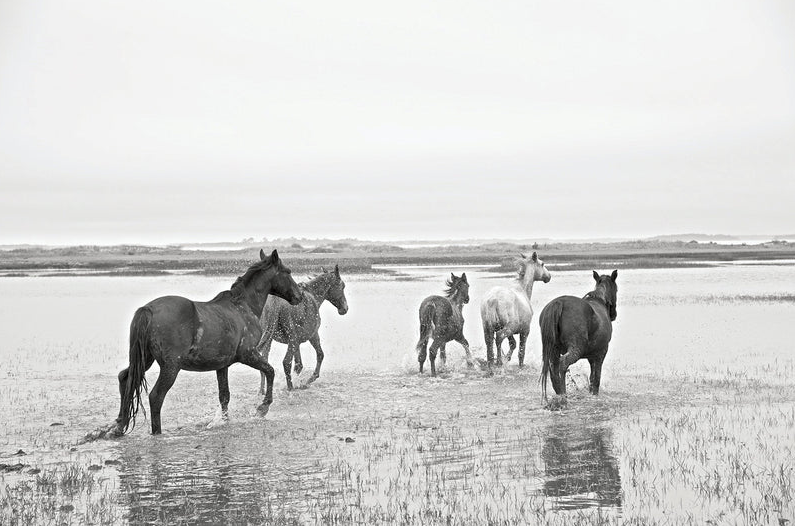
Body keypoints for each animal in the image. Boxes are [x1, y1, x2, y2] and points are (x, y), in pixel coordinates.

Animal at [109, 249, 303, 436]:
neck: (243, 307)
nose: (299, 296)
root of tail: (147, 309)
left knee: (125, 379)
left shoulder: (222, 365)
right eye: (287, 271)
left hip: (146, 360)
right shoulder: (248, 354)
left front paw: (224, 421)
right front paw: (262, 408)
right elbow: (270, 371)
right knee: (156, 397)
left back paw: (119, 427)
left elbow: (224, 395)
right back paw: (156, 432)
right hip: (171, 367)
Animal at [539, 270, 618, 401]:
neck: (600, 301)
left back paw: (559, 393)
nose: (614, 315)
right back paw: (563, 396)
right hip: (576, 349)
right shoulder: (601, 353)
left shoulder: (592, 356)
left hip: (553, 350)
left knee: (553, 369)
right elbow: (596, 378)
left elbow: (592, 378)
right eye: (616, 289)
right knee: (562, 365)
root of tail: (559, 302)